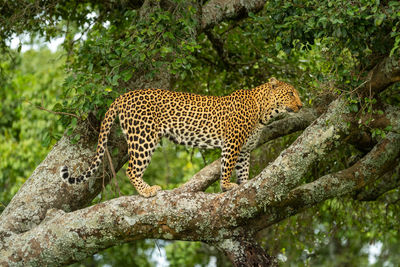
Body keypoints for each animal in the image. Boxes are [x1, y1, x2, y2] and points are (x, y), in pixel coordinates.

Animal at [61, 78, 302, 198]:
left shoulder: (243, 149)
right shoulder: (232, 143)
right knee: (132, 169)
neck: (264, 111)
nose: (301, 105)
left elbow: (243, 169)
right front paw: (226, 186)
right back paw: (147, 191)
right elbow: (226, 166)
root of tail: (124, 95)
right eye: (291, 93)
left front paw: (244, 184)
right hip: (144, 136)